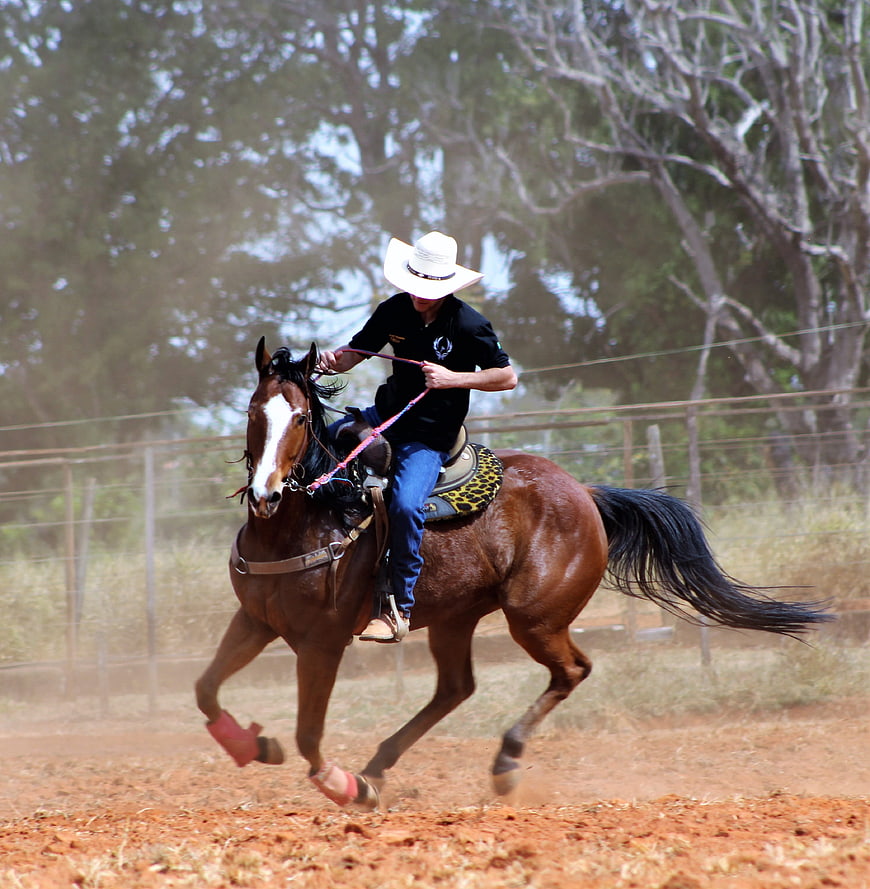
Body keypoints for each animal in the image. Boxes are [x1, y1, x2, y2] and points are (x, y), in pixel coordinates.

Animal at [195, 338, 831, 809]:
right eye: (253, 412)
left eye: (302, 418)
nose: (266, 494)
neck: (314, 515)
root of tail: (587, 493)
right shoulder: (255, 620)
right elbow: (206, 689)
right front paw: (254, 746)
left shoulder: (321, 642)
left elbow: (308, 733)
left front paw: (342, 787)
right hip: (456, 617)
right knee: (456, 688)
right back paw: (380, 767)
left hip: (535, 618)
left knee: (571, 670)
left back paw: (500, 763)